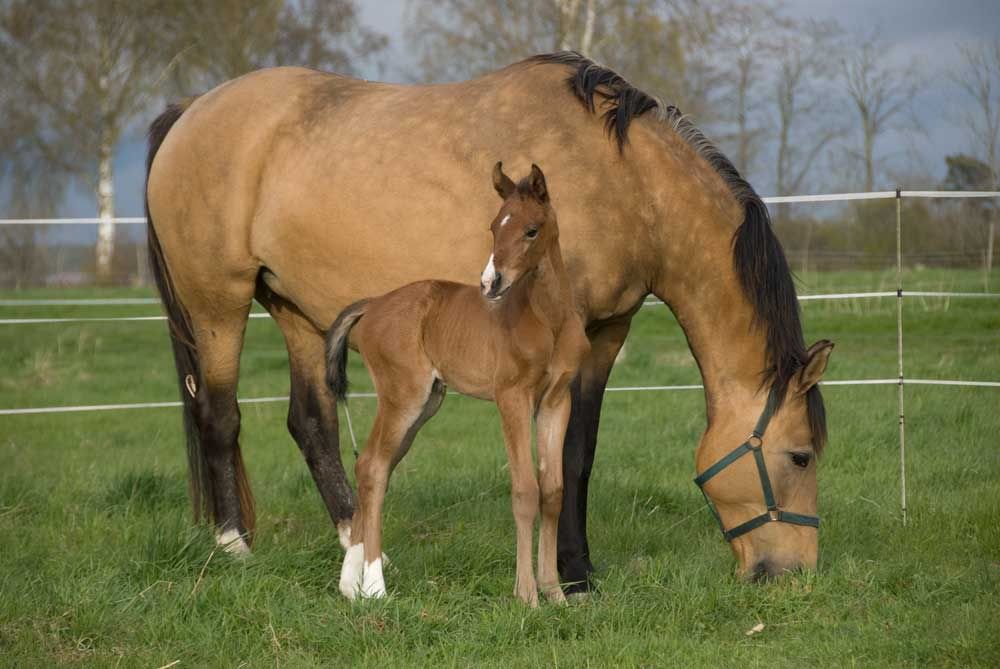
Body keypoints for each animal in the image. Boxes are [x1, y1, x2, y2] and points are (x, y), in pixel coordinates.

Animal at [328, 163, 588, 604]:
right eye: (494, 227)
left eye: (531, 230)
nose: (490, 283)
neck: (547, 318)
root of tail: (374, 303)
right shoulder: (511, 397)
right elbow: (525, 490)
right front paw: (527, 596)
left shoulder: (556, 400)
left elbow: (552, 490)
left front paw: (556, 594)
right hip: (404, 396)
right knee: (374, 466)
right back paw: (375, 586)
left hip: (427, 403)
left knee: (374, 465)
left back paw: (351, 586)